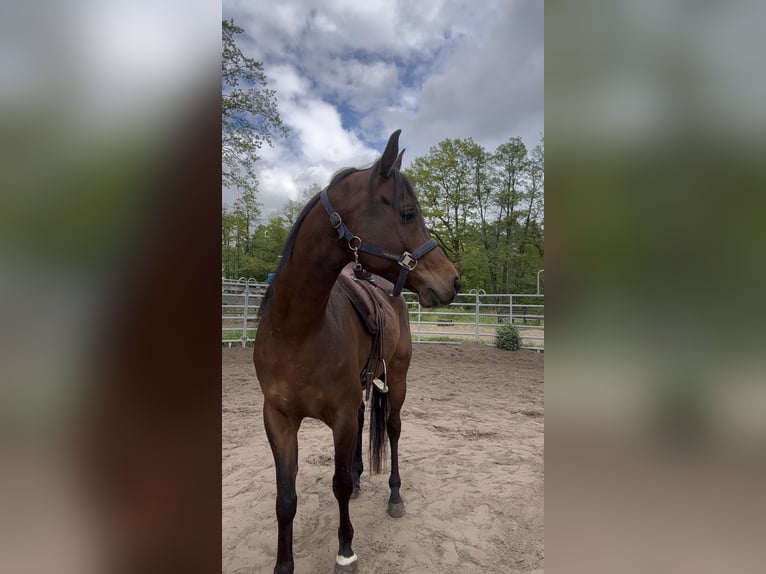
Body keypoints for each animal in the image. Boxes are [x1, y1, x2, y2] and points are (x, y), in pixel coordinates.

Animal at [253, 130, 460, 573]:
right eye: (407, 214)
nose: (453, 280)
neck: (299, 331)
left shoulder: (341, 415)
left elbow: (340, 485)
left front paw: (346, 550)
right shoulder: (278, 419)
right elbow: (285, 499)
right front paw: (283, 565)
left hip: (396, 379)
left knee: (393, 430)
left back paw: (395, 496)